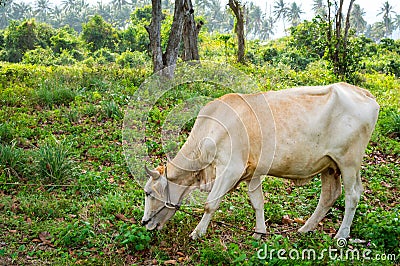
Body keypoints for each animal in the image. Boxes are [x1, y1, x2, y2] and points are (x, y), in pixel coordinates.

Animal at [142, 82, 380, 240]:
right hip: (330, 166)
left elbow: (210, 204)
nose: (144, 222)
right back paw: (305, 229)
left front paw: (197, 233)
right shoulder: (253, 172)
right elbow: (258, 202)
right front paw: (259, 232)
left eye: (149, 193)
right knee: (329, 196)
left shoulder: (231, 169)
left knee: (352, 195)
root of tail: (363, 92)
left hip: (349, 162)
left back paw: (341, 235)